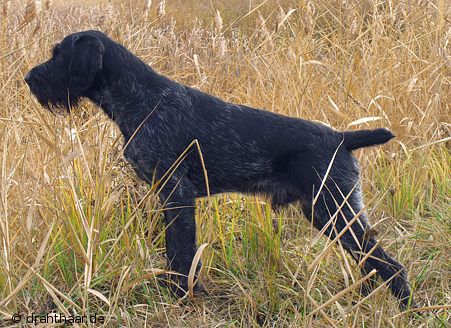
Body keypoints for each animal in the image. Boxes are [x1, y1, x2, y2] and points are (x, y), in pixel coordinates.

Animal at [25, 29, 416, 308]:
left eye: (59, 54)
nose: (29, 78)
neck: (140, 100)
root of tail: (341, 137)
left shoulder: (177, 193)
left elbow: (181, 253)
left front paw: (179, 295)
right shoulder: (168, 197)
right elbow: (174, 250)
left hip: (334, 209)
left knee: (390, 265)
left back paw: (407, 308)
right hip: (327, 213)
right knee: (370, 262)